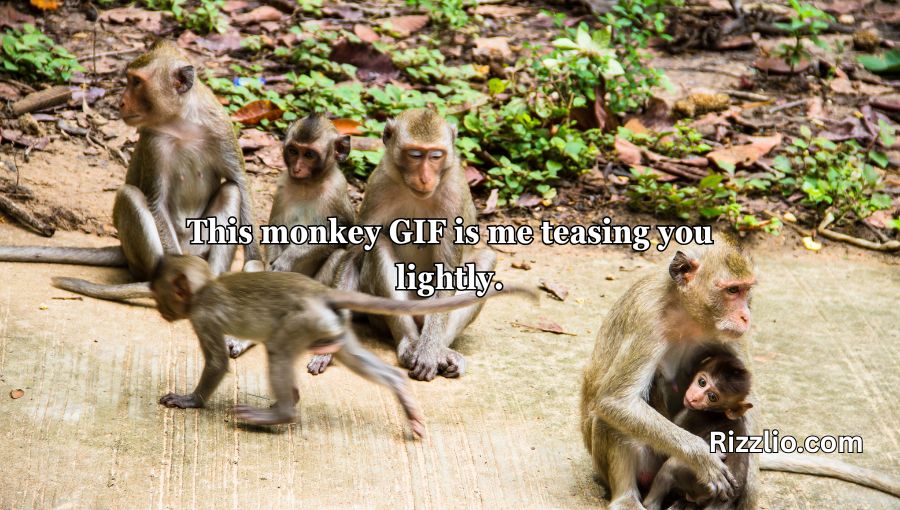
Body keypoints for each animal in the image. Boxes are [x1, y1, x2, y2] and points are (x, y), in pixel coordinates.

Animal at [0, 40, 263, 302]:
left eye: (136, 82)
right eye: (129, 79)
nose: (121, 102)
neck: (182, 122)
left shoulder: (221, 128)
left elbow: (240, 182)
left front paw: (254, 263)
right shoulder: (152, 142)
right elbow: (156, 201)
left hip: (200, 246)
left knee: (231, 191)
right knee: (131, 196)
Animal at [150, 254, 532, 433]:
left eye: (159, 293)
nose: (163, 312)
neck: (204, 289)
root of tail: (323, 293)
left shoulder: (204, 317)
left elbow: (217, 364)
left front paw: (189, 400)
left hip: (302, 322)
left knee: (278, 350)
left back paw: (280, 413)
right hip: (330, 326)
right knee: (354, 358)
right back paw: (402, 396)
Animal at [306, 108, 497, 382]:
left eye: (436, 155)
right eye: (415, 155)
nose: (425, 178)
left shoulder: (454, 194)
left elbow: (449, 271)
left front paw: (429, 353)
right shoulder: (378, 187)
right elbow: (355, 256)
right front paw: (330, 347)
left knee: (485, 260)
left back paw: (440, 352)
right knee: (380, 244)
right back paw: (408, 343)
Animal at [643, 353, 753, 510]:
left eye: (712, 397)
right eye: (702, 382)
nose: (694, 398)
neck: (715, 412)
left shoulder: (690, 416)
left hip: (698, 479)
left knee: (671, 466)